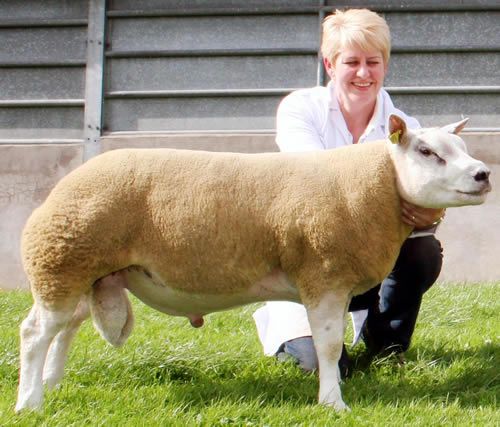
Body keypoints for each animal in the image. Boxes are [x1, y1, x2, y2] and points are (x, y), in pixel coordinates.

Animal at [14, 113, 488, 412]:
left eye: (461, 147)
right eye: (426, 151)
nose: (483, 174)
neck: (377, 186)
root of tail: (64, 185)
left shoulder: (332, 279)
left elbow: (332, 345)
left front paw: (332, 395)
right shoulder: (323, 274)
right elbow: (328, 347)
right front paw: (333, 403)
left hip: (84, 271)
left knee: (65, 329)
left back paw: (51, 385)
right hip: (61, 261)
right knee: (36, 333)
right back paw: (29, 403)